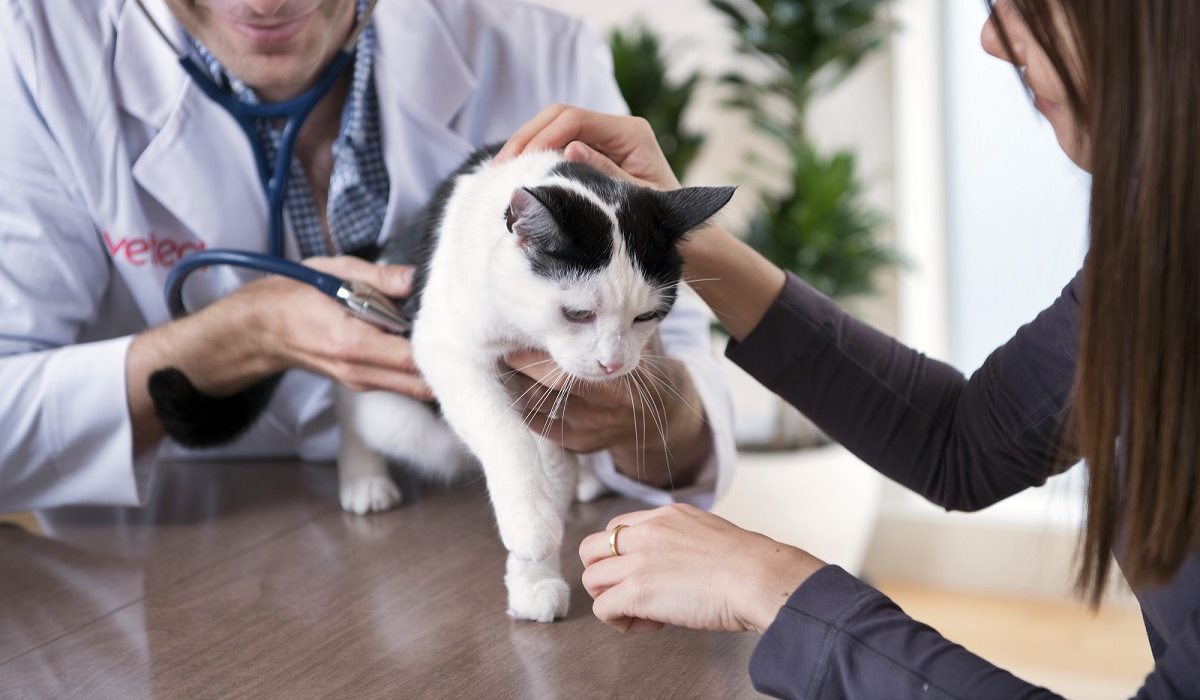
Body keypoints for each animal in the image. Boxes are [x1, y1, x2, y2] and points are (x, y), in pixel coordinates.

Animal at [150, 145, 729, 619]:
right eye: (578, 313)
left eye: (647, 316)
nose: (613, 365)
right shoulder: (446, 347)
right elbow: (506, 436)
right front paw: (531, 526)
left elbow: (549, 467)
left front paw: (531, 577)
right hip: (390, 411)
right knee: (352, 410)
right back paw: (363, 478)